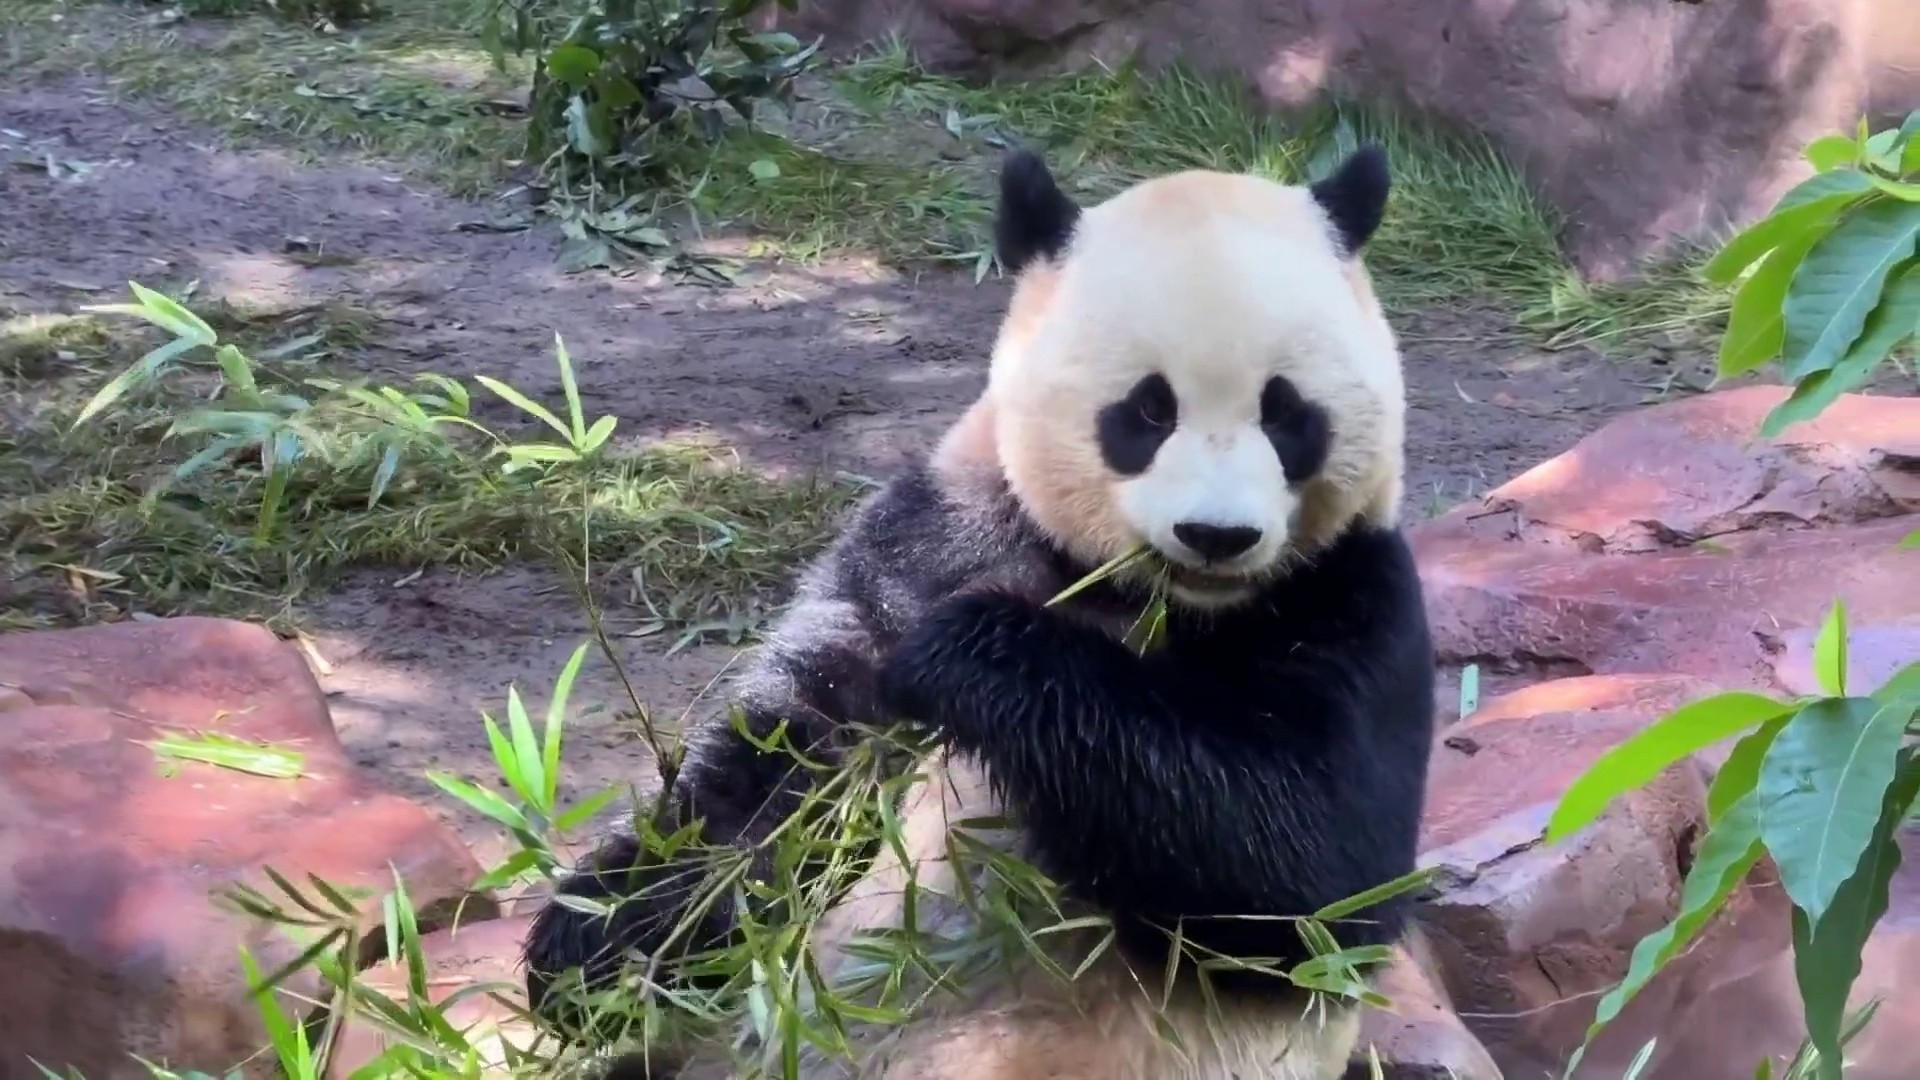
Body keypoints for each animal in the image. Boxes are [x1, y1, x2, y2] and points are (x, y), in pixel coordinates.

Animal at [522, 145, 1428, 1076]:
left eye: (1287, 414)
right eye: (1149, 408)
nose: (1217, 535)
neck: (1148, 595)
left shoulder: (1351, 596)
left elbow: (1313, 871)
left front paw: (966, 654)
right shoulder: (937, 534)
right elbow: (785, 771)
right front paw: (594, 943)